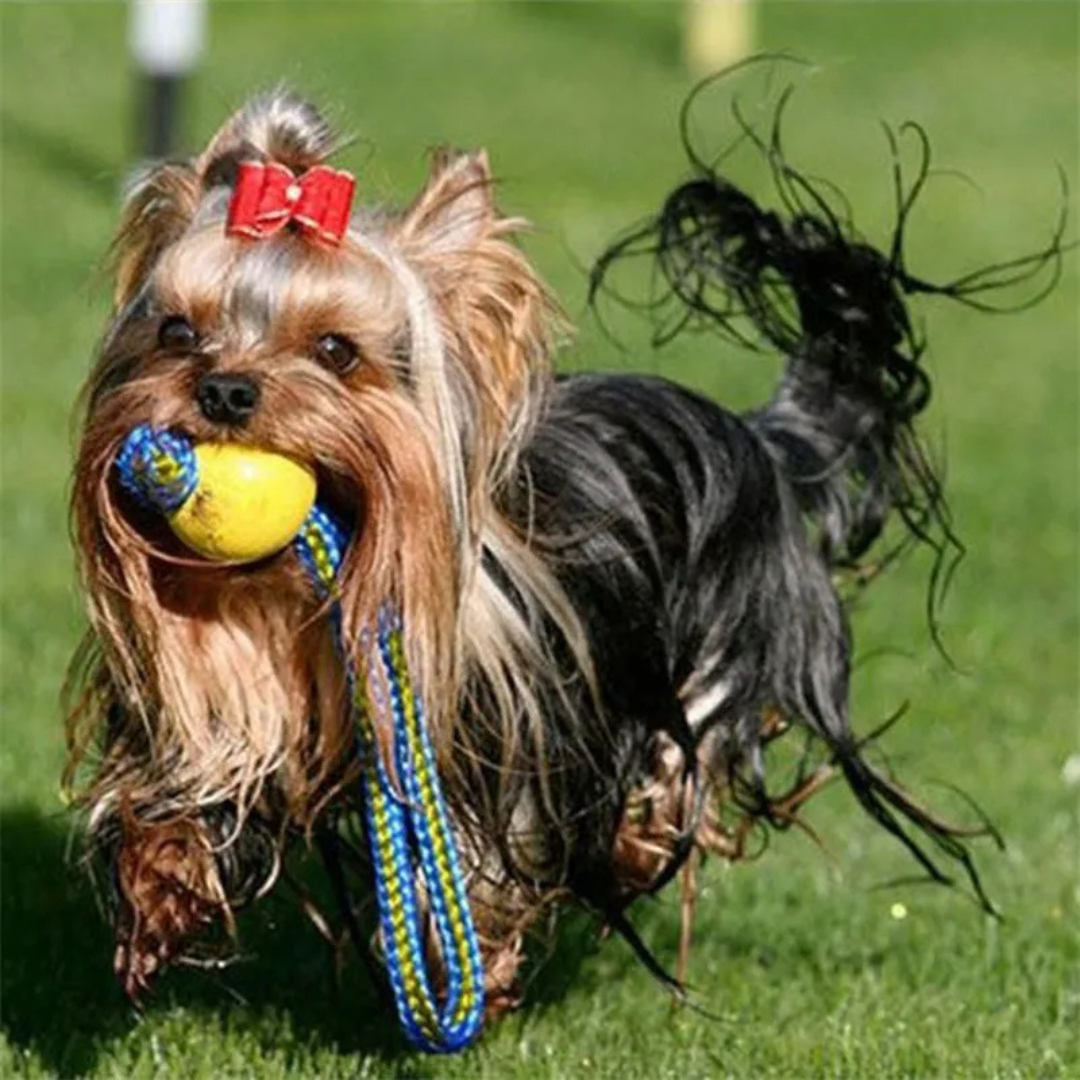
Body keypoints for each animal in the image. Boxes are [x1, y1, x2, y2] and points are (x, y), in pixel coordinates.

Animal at [61, 88, 1062, 1049]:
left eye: (336, 351)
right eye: (177, 332)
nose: (225, 391)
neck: (290, 592)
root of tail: (760, 437)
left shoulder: (524, 725)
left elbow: (497, 848)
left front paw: (480, 954)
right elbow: (180, 779)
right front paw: (160, 883)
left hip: (728, 645)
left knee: (685, 755)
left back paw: (639, 836)